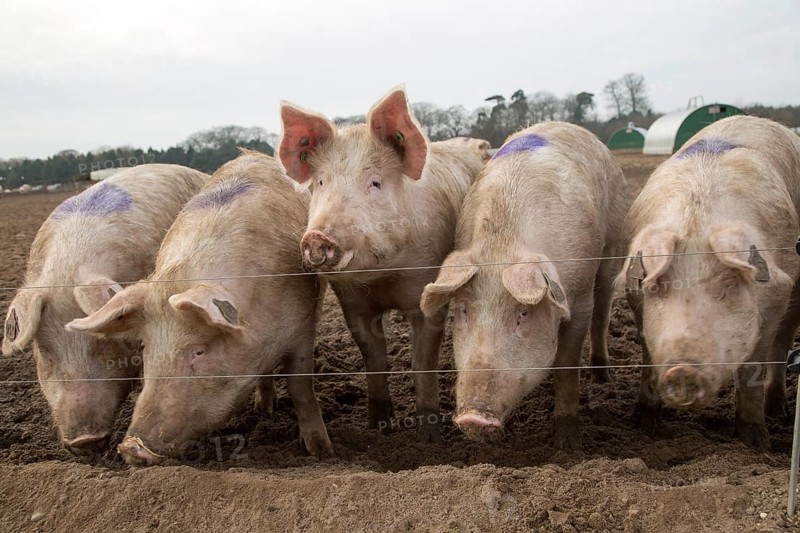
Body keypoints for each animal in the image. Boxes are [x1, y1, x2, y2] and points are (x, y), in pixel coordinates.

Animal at [67, 151, 333, 465]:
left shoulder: (303, 327)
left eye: (198, 351)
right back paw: (264, 409)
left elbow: (301, 388)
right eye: (145, 347)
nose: (131, 447)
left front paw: (321, 454)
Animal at [278, 88, 485, 441]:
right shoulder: (352, 302)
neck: (382, 275)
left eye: (374, 183)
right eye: (321, 183)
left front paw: (430, 438)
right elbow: (374, 358)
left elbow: (422, 362)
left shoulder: (426, 289)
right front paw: (378, 427)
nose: (317, 236)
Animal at [420, 123, 629, 450]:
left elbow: (566, 365)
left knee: (604, 308)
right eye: (463, 310)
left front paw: (569, 446)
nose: (473, 417)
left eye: (523, 313)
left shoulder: (580, 295)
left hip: (613, 246)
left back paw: (602, 376)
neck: (503, 244)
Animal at [618, 116, 800, 450]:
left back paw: (777, 413)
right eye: (658, 286)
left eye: (727, 287)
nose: (682, 371)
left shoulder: (777, 292)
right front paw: (643, 426)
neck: (697, 218)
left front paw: (756, 444)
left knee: (783, 342)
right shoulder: (634, 296)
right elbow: (647, 353)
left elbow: (754, 366)